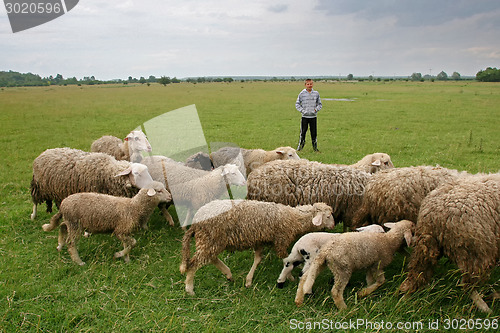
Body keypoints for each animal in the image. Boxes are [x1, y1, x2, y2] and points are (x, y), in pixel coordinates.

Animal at [45, 180, 174, 264]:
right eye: (159, 191)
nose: (170, 197)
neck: (134, 207)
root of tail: (63, 204)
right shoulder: (120, 231)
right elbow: (133, 243)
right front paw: (119, 255)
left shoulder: (124, 232)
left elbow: (128, 244)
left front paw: (126, 259)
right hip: (74, 224)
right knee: (71, 243)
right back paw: (79, 262)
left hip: (71, 222)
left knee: (62, 226)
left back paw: (60, 245)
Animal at [178, 198, 334, 294]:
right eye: (327, 216)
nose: (332, 226)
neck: (294, 218)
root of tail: (196, 220)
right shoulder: (281, 240)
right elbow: (286, 260)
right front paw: (289, 277)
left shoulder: (261, 241)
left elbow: (258, 259)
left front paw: (248, 281)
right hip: (209, 239)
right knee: (194, 263)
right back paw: (189, 289)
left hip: (212, 241)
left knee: (211, 258)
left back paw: (228, 274)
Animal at [398, 172, 500, 312]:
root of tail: (432, 213)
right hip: (476, 250)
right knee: (468, 285)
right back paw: (486, 308)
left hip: (428, 247)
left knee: (418, 273)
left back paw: (405, 298)